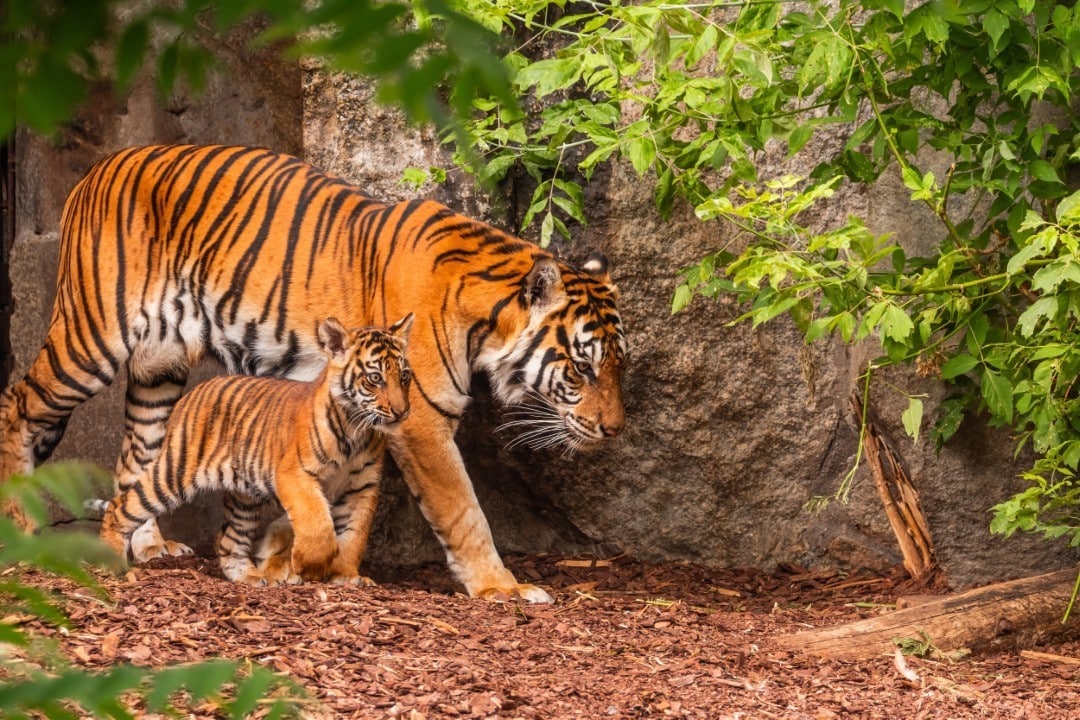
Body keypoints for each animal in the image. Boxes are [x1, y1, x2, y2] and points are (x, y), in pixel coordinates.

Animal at [99, 315, 413, 585]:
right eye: (375, 379)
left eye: (405, 377)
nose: (401, 412)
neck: (357, 429)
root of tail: (197, 389)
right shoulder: (295, 474)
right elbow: (318, 523)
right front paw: (308, 566)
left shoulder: (362, 487)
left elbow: (354, 535)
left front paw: (345, 576)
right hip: (173, 472)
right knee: (120, 507)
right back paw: (109, 560)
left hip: (243, 497)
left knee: (229, 540)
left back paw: (249, 577)